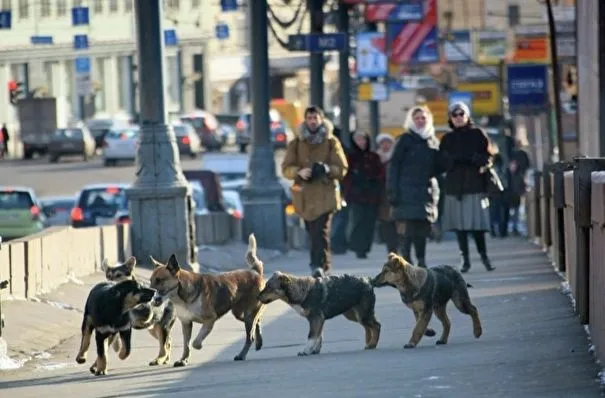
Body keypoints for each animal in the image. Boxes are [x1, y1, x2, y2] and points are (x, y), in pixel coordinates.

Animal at [149, 233, 264, 366]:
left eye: (160, 280)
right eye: (151, 280)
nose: (150, 295)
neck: (181, 295)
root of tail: (255, 272)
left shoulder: (210, 320)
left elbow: (195, 343)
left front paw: (198, 347)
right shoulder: (186, 323)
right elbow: (186, 345)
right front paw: (183, 359)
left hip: (248, 314)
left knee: (250, 336)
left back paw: (242, 355)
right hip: (240, 313)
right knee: (257, 321)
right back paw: (259, 341)